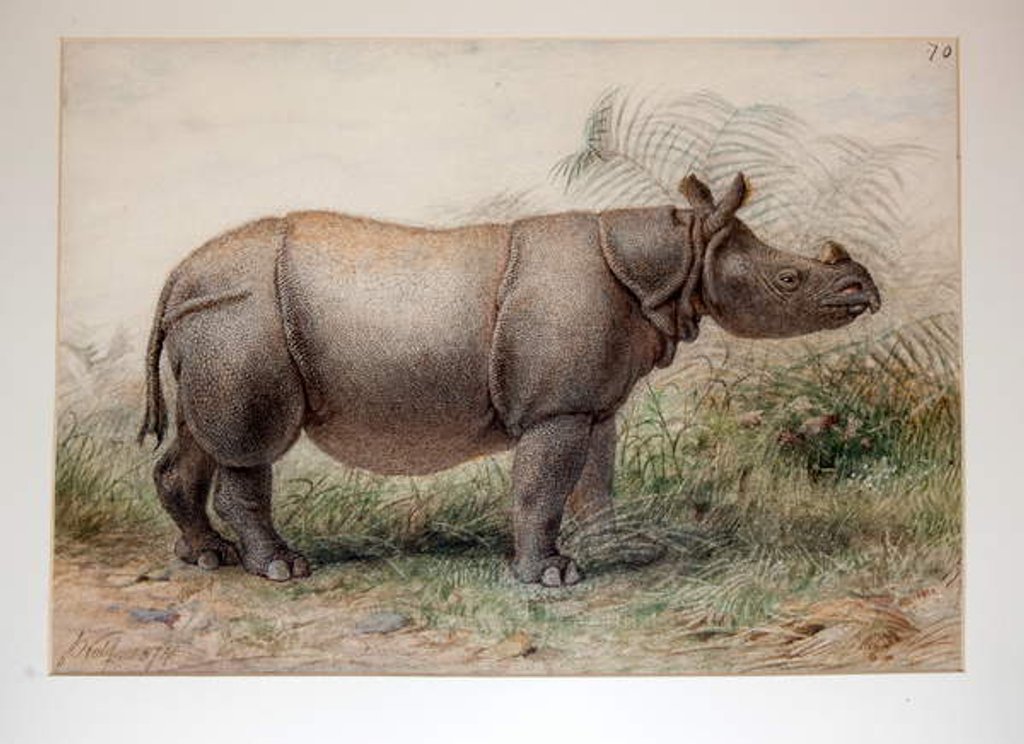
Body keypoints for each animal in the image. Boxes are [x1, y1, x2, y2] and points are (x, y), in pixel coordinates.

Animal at [138, 173, 880, 586]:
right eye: (789, 279)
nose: (865, 290)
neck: (673, 260)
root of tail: (178, 276)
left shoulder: (588, 404)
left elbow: (595, 483)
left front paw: (617, 548)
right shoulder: (555, 408)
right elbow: (541, 489)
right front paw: (550, 577)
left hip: (219, 318)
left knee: (201, 435)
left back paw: (206, 558)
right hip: (244, 313)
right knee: (249, 443)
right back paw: (282, 570)